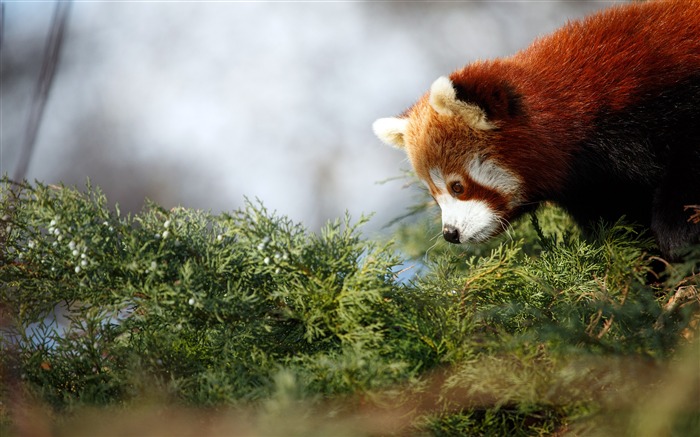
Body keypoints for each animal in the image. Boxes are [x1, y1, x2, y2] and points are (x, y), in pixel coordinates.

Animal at [374, 0, 696, 258]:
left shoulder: (662, 99)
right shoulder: (595, 186)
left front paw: (677, 231)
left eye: (457, 187)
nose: (450, 234)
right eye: (433, 195)